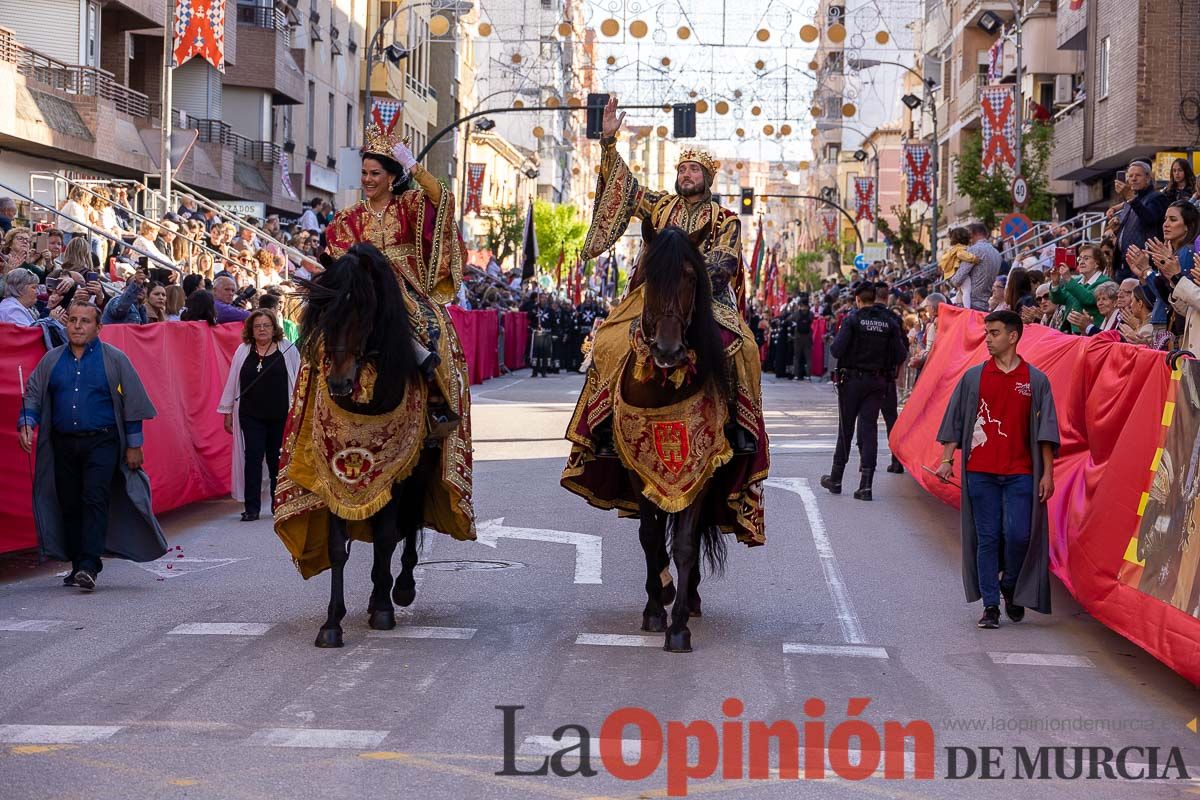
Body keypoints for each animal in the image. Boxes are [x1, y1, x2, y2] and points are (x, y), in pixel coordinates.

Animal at [297, 244, 434, 652]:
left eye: (365, 307)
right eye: (324, 310)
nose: (339, 382)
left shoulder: (397, 471)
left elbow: (388, 537)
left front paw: (385, 609)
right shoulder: (333, 477)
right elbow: (336, 547)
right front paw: (332, 623)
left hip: (421, 469)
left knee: (409, 522)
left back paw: (398, 589)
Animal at [619, 224, 729, 652]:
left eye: (691, 278)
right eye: (648, 277)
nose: (668, 351)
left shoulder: (702, 468)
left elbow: (684, 544)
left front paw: (678, 626)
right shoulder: (636, 468)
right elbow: (650, 536)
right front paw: (654, 608)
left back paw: (690, 597)